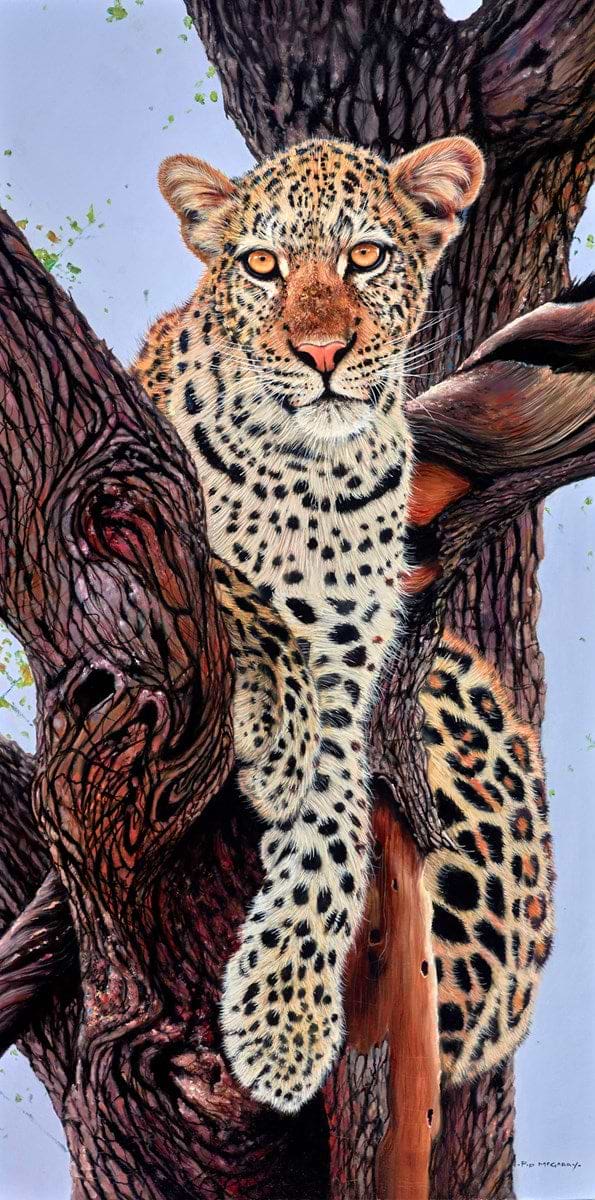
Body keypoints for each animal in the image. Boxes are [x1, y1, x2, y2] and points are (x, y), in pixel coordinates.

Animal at [133, 135, 553, 1114]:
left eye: (365, 255)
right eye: (262, 266)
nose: (321, 350)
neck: (310, 471)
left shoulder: (352, 663)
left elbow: (335, 830)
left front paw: (282, 1022)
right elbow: (234, 585)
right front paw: (278, 730)